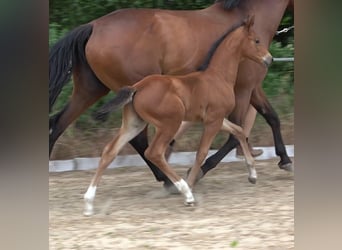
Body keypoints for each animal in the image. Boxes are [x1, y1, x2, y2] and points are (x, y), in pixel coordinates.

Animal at [83, 16, 272, 215]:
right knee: (154, 152)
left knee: (110, 151)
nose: (269, 59)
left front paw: (253, 175)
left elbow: (239, 131)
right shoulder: (213, 121)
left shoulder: (217, 119)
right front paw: (191, 184)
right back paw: (186, 193)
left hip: (134, 124)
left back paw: (88, 203)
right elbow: (201, 152)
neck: (218, 77)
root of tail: (137, 87)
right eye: (257, 40)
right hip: (170, 123)